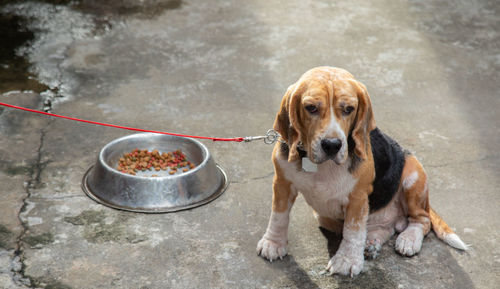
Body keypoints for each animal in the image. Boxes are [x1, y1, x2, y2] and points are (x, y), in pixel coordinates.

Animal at [258, 66, 468, 276]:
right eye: (311, 108)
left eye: (348, 109)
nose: (332, 145)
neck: (321, 165)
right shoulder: (282, 183)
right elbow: (278, 215)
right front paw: (273, 243)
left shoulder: (357, 198)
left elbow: (353, 229)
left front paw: (346, 260)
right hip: (324, 217)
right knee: (387, 227)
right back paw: (371, 242)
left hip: (414, 176)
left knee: (421, 220)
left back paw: (408, 240)